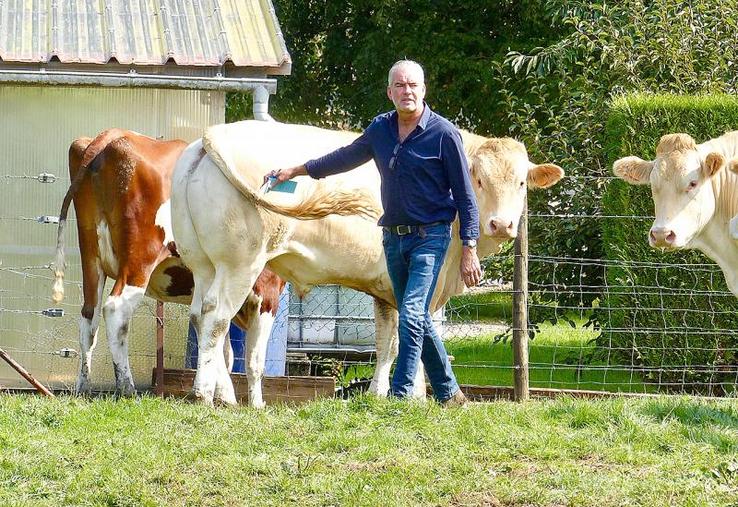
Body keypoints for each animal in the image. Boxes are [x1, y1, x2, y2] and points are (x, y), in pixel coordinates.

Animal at [52, 129, 285, 407]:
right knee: (116, 309)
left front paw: (224, 396)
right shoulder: (267, 290)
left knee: (89, 316)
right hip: (140, 258)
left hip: (90, 257)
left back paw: (83, 387)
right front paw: (255, 404)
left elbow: (220, 346)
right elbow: (253, 359)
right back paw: (127, 388)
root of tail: (112, 136)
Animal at [170, 120, 564, 406]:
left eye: (521, 182)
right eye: (479, 180)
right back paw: (204, 394)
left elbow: (388, 341)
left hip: (203, 265)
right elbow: (414, 336)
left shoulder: (386, 287)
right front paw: (417, 396)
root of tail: (210, 137)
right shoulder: (428, 284)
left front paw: (380, 394)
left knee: (200, 316)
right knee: (217, 319)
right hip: (241, 264)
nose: (503, 224)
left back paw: (224, 396)